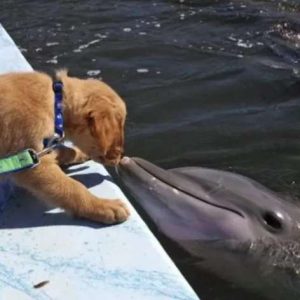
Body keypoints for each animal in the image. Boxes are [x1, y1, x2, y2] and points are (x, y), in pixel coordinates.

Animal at [0, 70, 129, 224]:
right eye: (118, 127)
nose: (122, 157)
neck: (56, 105)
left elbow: (65, 150)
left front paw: (78, 154)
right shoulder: (31, 163)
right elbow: (73, 188)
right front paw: (103, 206)